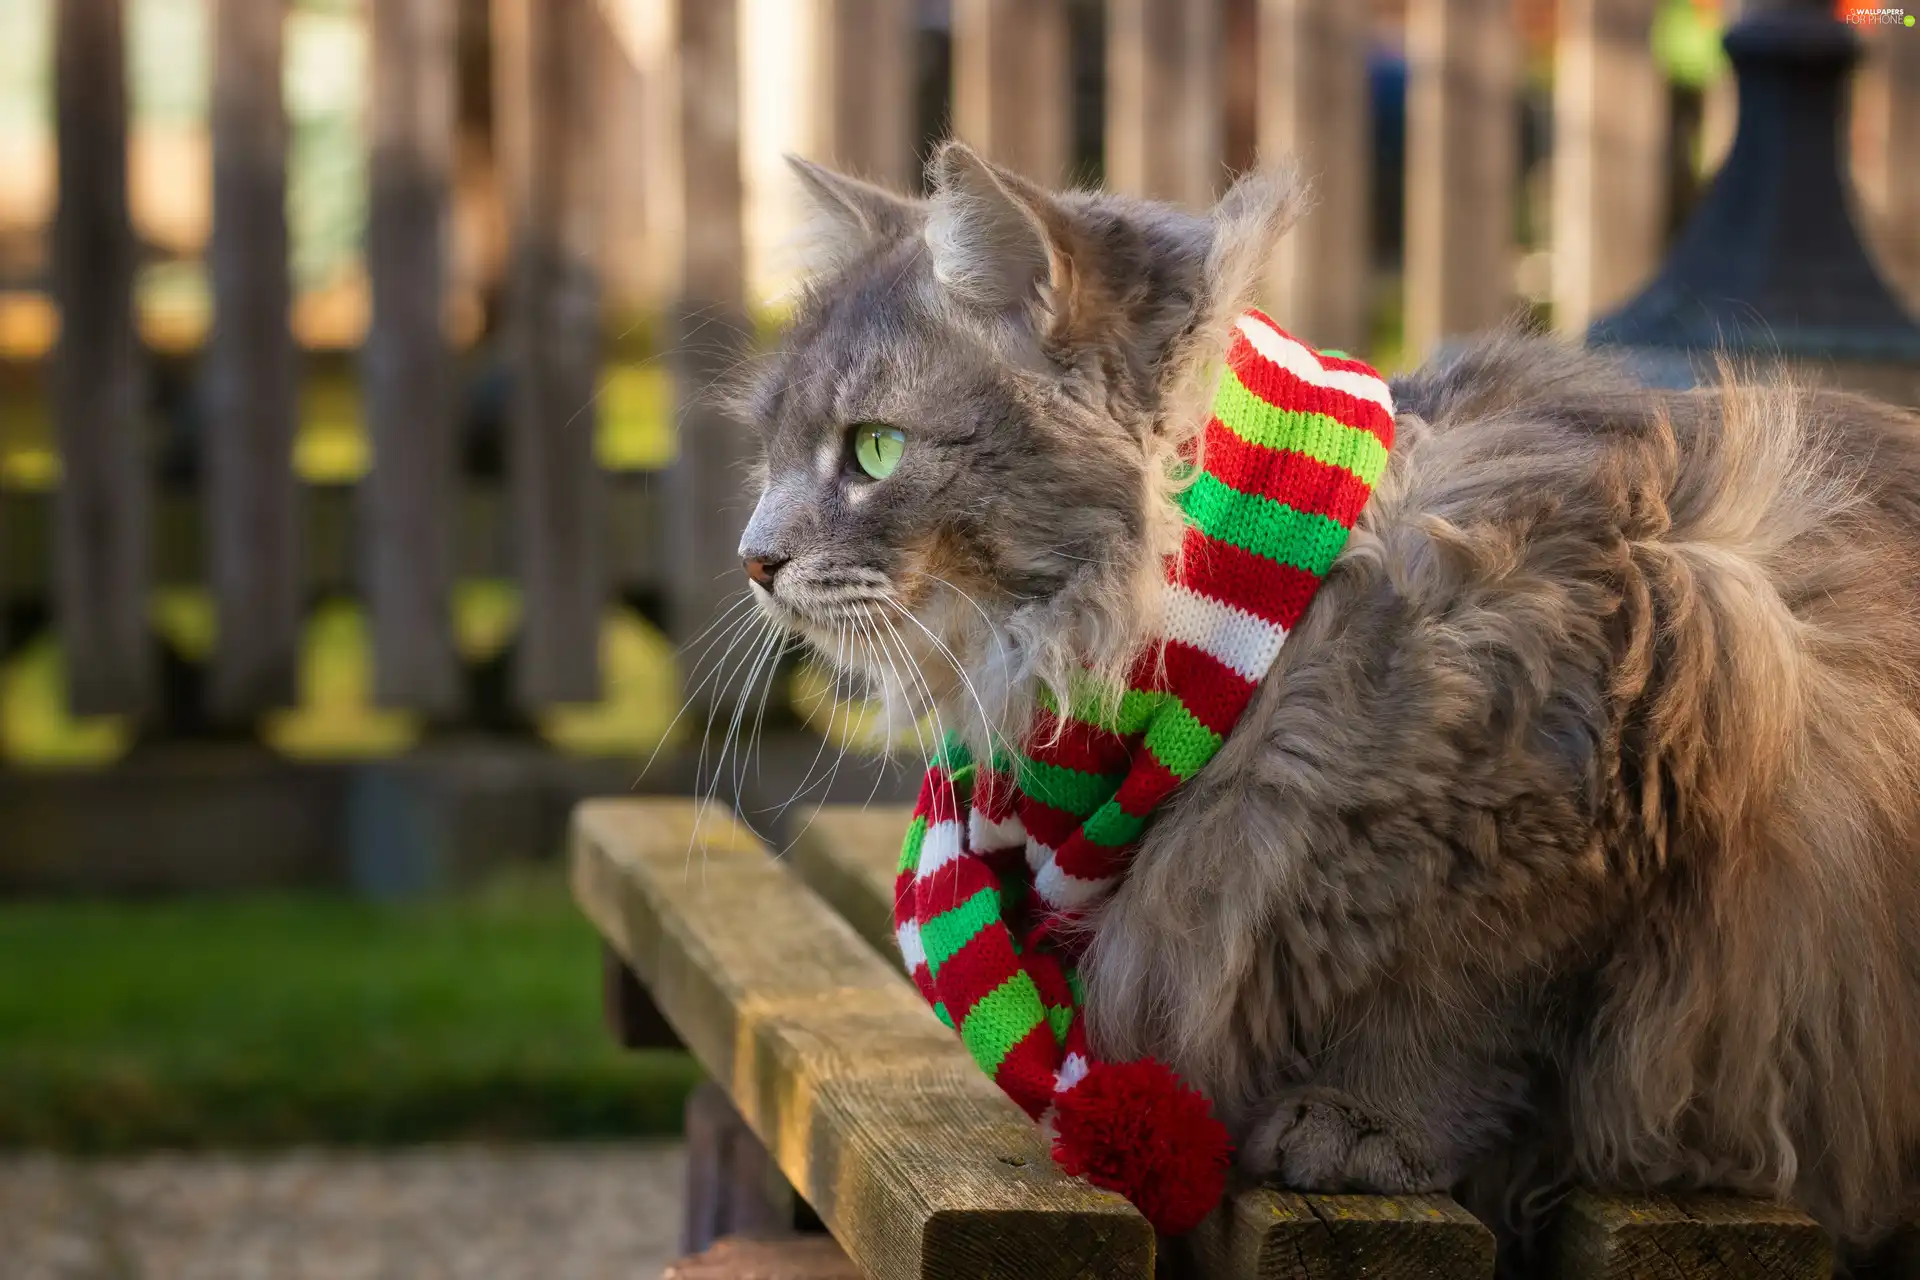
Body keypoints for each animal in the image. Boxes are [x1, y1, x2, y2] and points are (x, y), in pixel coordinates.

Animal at [729, 144, 1920, 1266]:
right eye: (772, 453)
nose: (754, 558)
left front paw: (1363, 1125)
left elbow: (1456, 1017)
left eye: (874, 448)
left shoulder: (1620, 772)